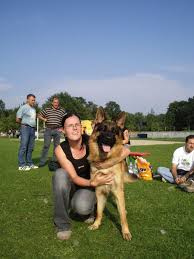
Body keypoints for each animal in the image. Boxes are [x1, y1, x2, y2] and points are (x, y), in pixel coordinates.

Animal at [88, 107, 133, 242]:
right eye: (103, 129)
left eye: (114, 132)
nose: (108, 138)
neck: (105, 161)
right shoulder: (100, 192)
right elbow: (99, 211)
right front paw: (96, 224)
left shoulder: (118, 191)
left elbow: (122, 216)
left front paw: (125, 232)